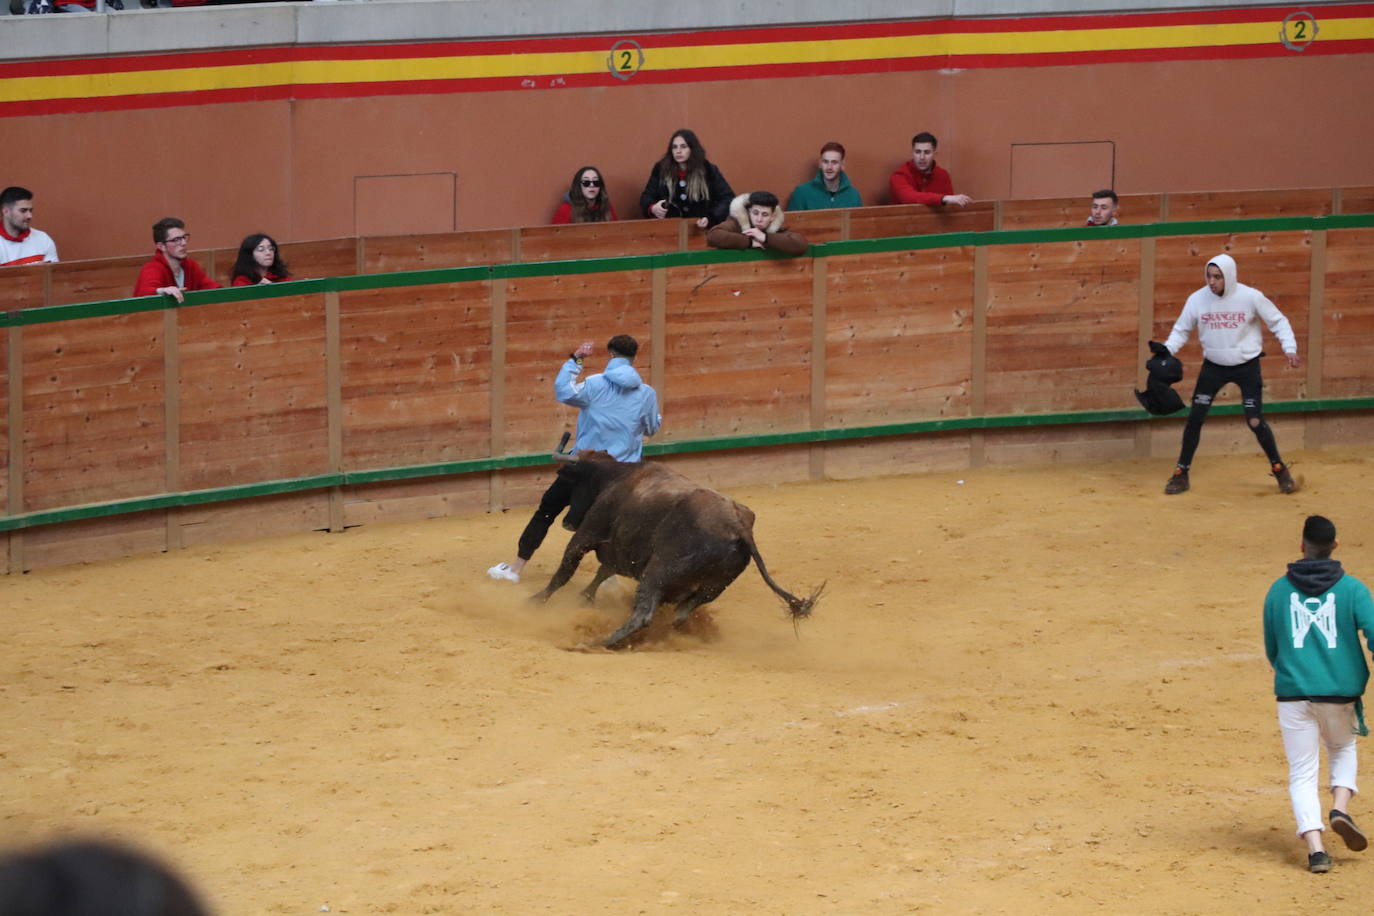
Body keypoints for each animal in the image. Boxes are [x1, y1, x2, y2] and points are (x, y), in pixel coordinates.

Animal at [530, 447, 818, 648]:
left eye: (572, 482)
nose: (567, 521)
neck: (616, 477)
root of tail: (739, 527)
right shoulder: (619, 551)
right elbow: (602, 573)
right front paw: (584, 598)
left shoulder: (587, 534)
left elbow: (564, 573)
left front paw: (534, 601)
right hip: (712, 588)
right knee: (680, 613)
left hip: (659, 570)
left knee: (644, 613)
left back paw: (599, 641)